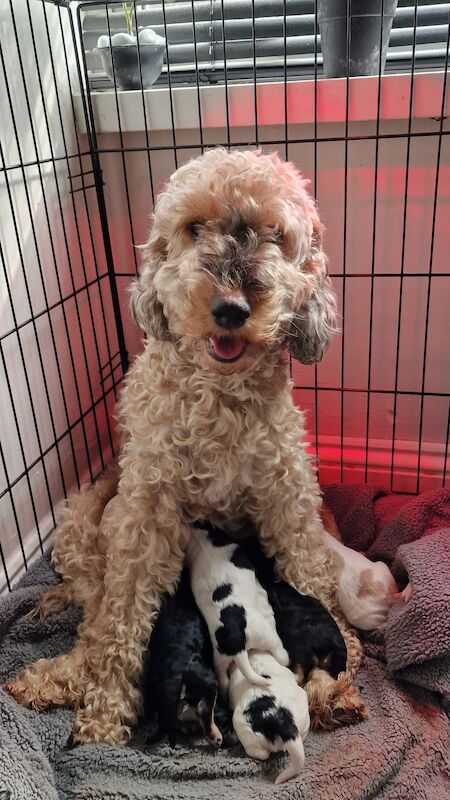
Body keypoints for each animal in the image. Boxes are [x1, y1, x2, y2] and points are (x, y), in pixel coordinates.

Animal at [185, 520, 288, 696]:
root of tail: (236, 644)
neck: (202, 540)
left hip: (220, 659)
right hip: (268, 637)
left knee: (223, 680)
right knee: (281, 655)